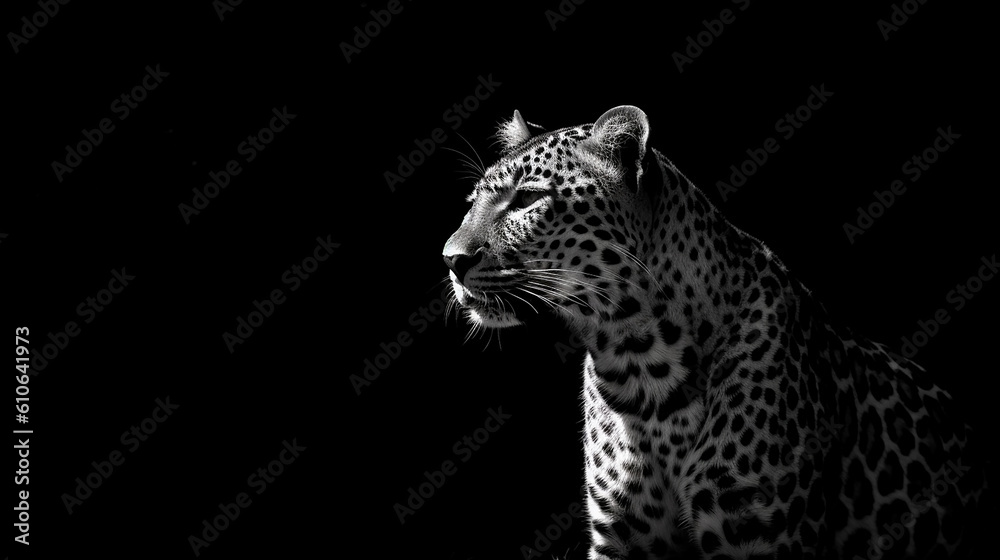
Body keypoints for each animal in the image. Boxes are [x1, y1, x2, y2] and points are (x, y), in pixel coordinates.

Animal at [441, 106, 986, 559]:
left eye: (528, 199)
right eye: (471, 202)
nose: (451, 259)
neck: (638, 362)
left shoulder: (757, 535)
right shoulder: (621, 535)